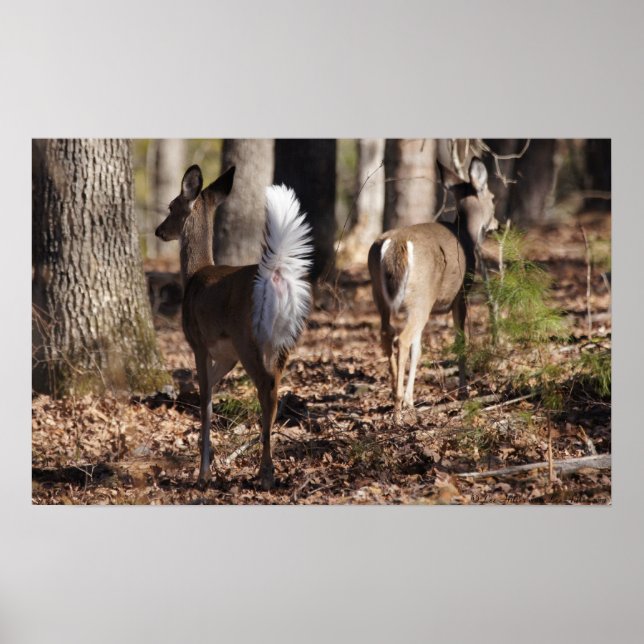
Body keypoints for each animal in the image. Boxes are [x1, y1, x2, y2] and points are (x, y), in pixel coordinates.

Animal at [155, 165, 313, 490]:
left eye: (172, 206)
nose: (159, 231)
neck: (194, 275)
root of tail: (276, 275)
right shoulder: (227, 355)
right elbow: (208, 389)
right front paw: (210, 456)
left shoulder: (199, 343)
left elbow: (204, 397)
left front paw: (203, 472)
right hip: (285, 338)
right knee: (276, 389)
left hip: (248, 336)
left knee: (266, 386)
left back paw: (266, 473)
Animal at [367, 157, 499, 422]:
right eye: (492, 197)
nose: (497, 224)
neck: (466, 234)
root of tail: (395, 244)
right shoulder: (461, 294)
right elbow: (460, 339)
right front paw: (463, 392)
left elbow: (419, 349)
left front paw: (411, 399)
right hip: (421, 297)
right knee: (402, 339)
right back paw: (397, 407)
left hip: (382, 295)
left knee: (388, 334)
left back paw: (396, 395)